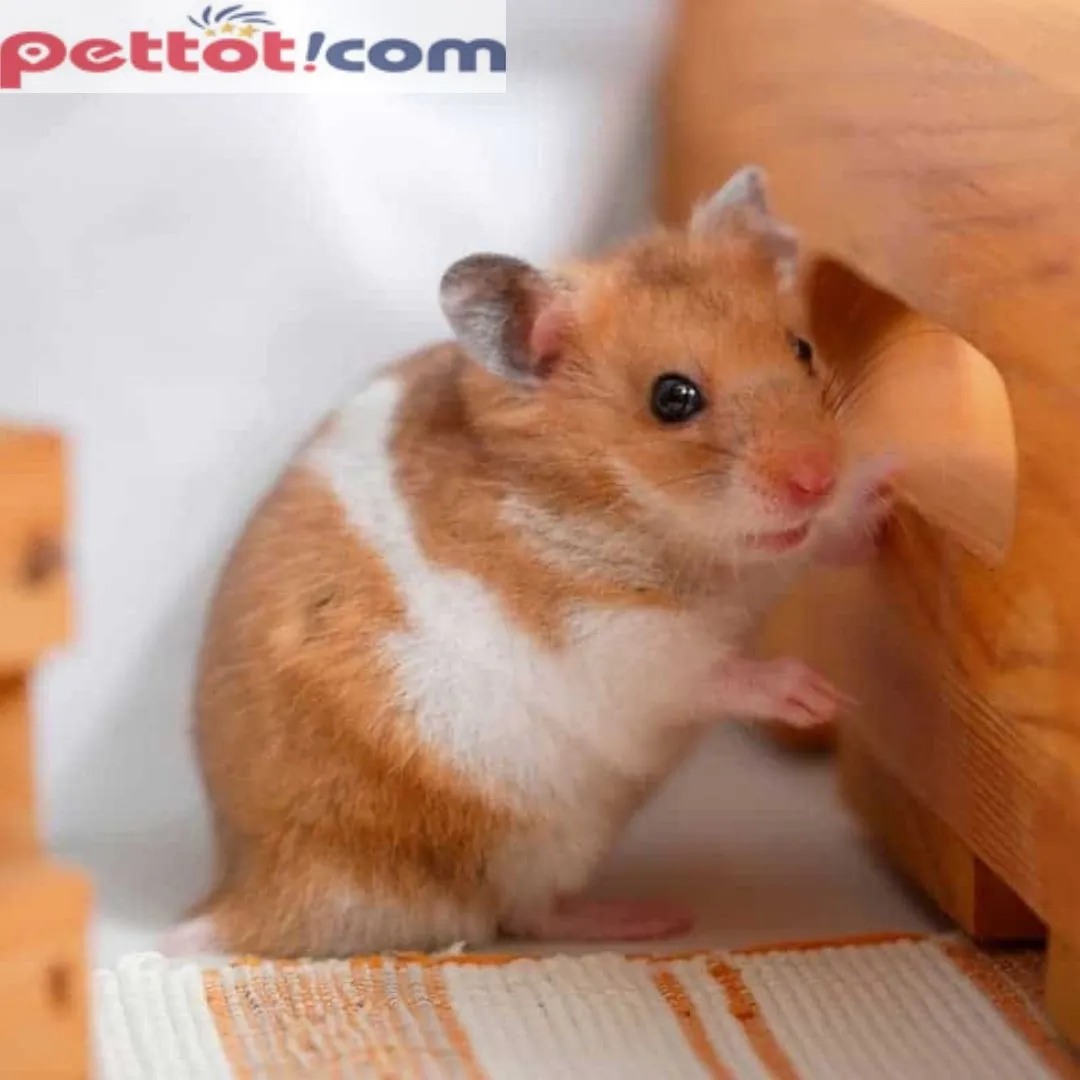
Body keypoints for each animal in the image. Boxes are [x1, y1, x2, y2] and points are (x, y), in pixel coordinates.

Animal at [168, 166, 894, 959]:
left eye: (802, 348)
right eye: (672, 398)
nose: (816, 476)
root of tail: (246, 897)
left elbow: (814, 543)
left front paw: (884, 505)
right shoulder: (611, 642)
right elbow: (706, 669)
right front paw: (818, 697)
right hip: (519, 837)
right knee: (523, 913)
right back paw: (653, 917)